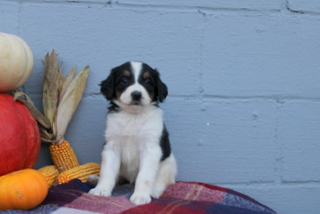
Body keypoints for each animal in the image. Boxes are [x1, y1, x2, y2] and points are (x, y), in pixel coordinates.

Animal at [89, 61, 176, 205]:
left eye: (147, 81)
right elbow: (107, 172)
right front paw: (101, 189)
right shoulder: (112, 146)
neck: (133, 116)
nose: (136, 94)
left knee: (162, 181)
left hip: (168, 164)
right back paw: (94, 179)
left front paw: (141, 196)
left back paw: (154, 191)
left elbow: (144, 176)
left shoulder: (150, 149)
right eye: (124, 81)